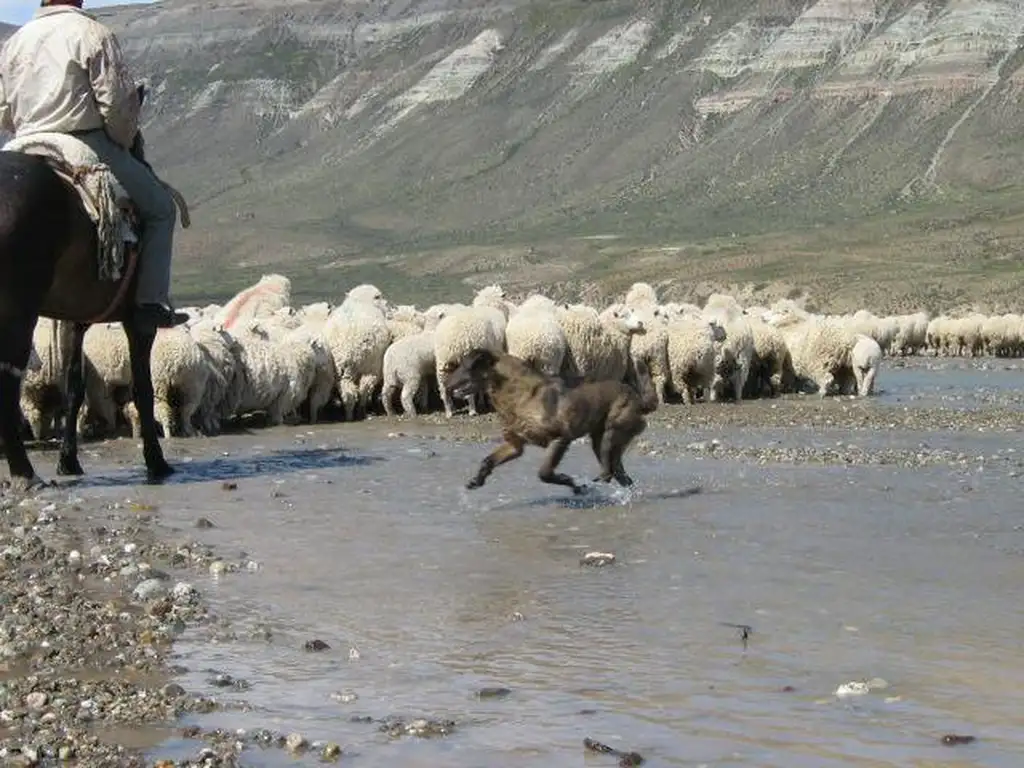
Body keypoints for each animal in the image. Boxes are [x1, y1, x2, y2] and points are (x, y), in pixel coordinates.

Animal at [0, 83, 176, 493]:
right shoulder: (135, 322)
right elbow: (143, 388)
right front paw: (155, 462)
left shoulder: (73, 319)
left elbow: (74, 386)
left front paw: (69, 460)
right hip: (18, 310)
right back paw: (23, 472)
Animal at [446, 350, 655, 495]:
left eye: (465, 367)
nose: (446, 384)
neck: (518, 395)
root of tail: (639, 399)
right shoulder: (515, 445)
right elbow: (488, 460)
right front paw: (477, 480)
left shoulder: (561, 438)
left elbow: (545, 473)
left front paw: (572, 482)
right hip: (601, 438)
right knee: (619, 473)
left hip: (611, 433)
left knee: (608, 470)